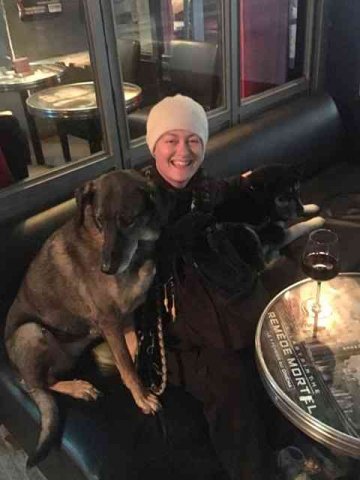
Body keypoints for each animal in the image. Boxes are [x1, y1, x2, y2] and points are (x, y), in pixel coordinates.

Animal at [4, 169, 170, 464]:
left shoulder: (127, 315)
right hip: (31, 332)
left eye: (128, 220)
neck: (137, 253)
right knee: (36, 385)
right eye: (99, 220)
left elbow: (131, 351)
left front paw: (137, 367)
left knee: (45, 381)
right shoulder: (109, 320)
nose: (106, 269)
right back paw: (77, 388)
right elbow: (126, 366)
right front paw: (141, 396)